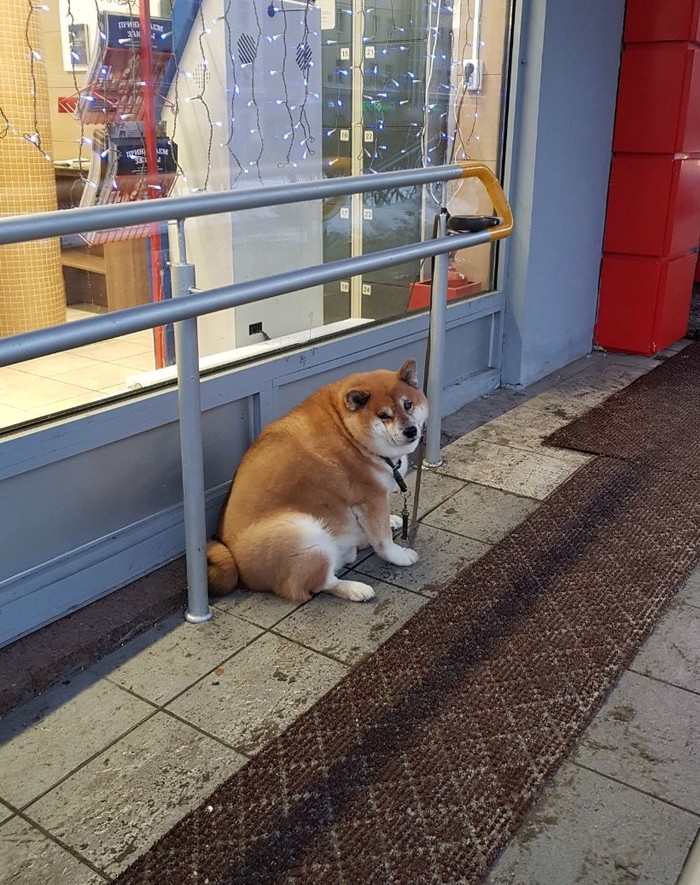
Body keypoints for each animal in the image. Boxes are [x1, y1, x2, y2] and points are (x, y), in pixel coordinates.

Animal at [205, 358, 430, 600]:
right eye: (384, 415)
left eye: (408, 404)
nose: (410, 430)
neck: (350, 434)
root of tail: (241, 572)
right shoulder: (371, 498)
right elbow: (383, 540)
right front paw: (399, 555)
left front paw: (391, 520)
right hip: (305, 536)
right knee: (321, 584)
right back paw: (355, 588)